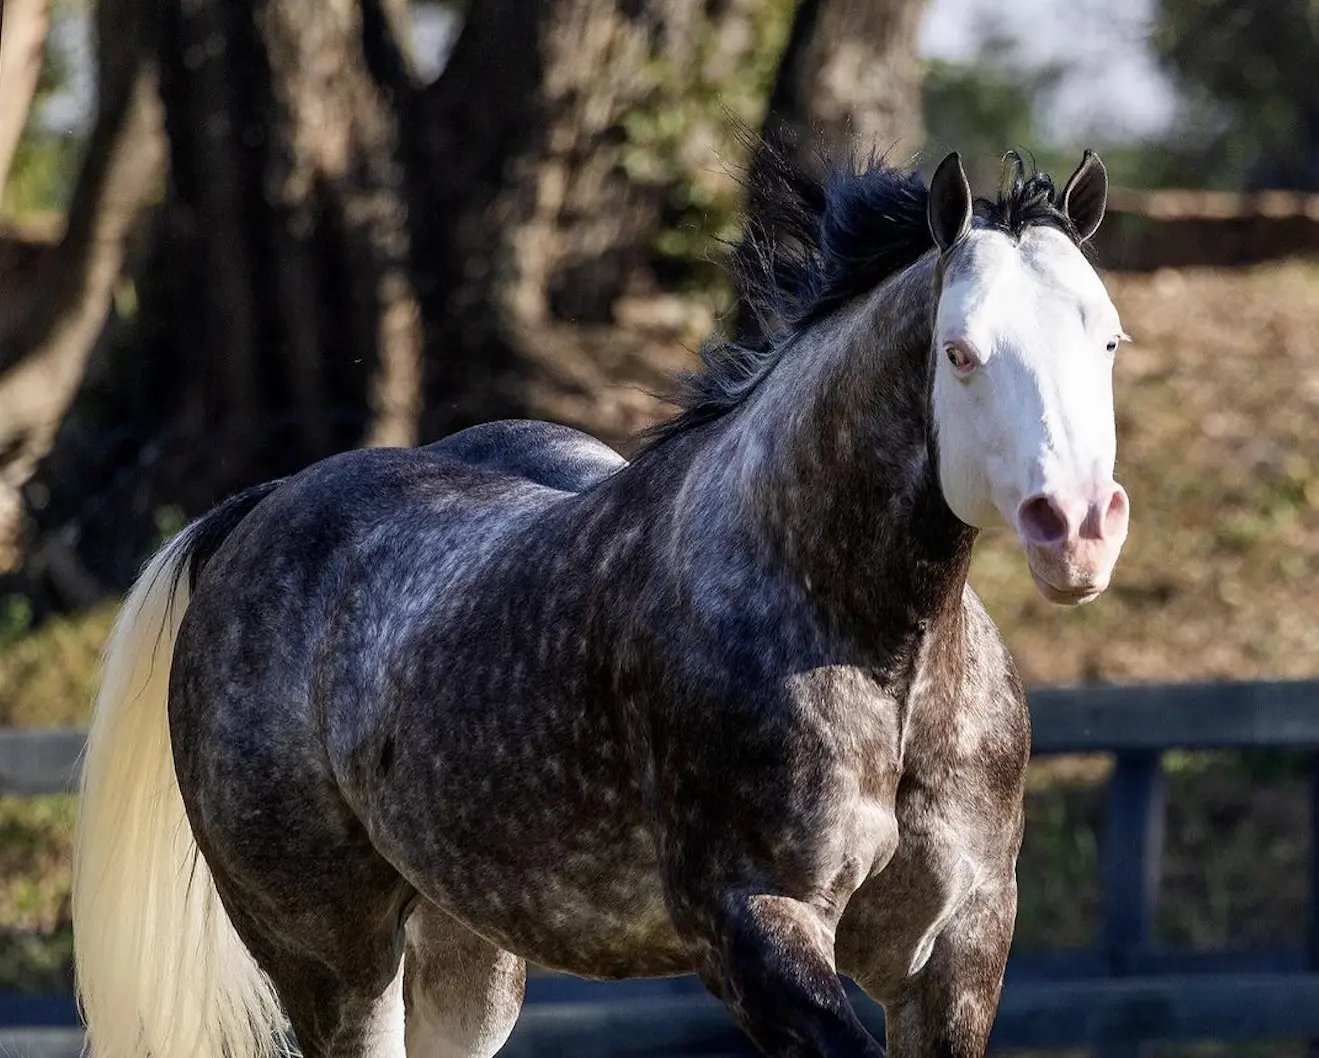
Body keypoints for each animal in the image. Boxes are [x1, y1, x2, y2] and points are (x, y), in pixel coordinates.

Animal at [72, 142, 1129, 1055]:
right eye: (959, 352)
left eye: (1109, 341)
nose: (1075, 526)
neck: (877, 652)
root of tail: (259, 512)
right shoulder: (752, 925)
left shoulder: (957, 945)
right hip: (329, 956)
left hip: (467, 949)